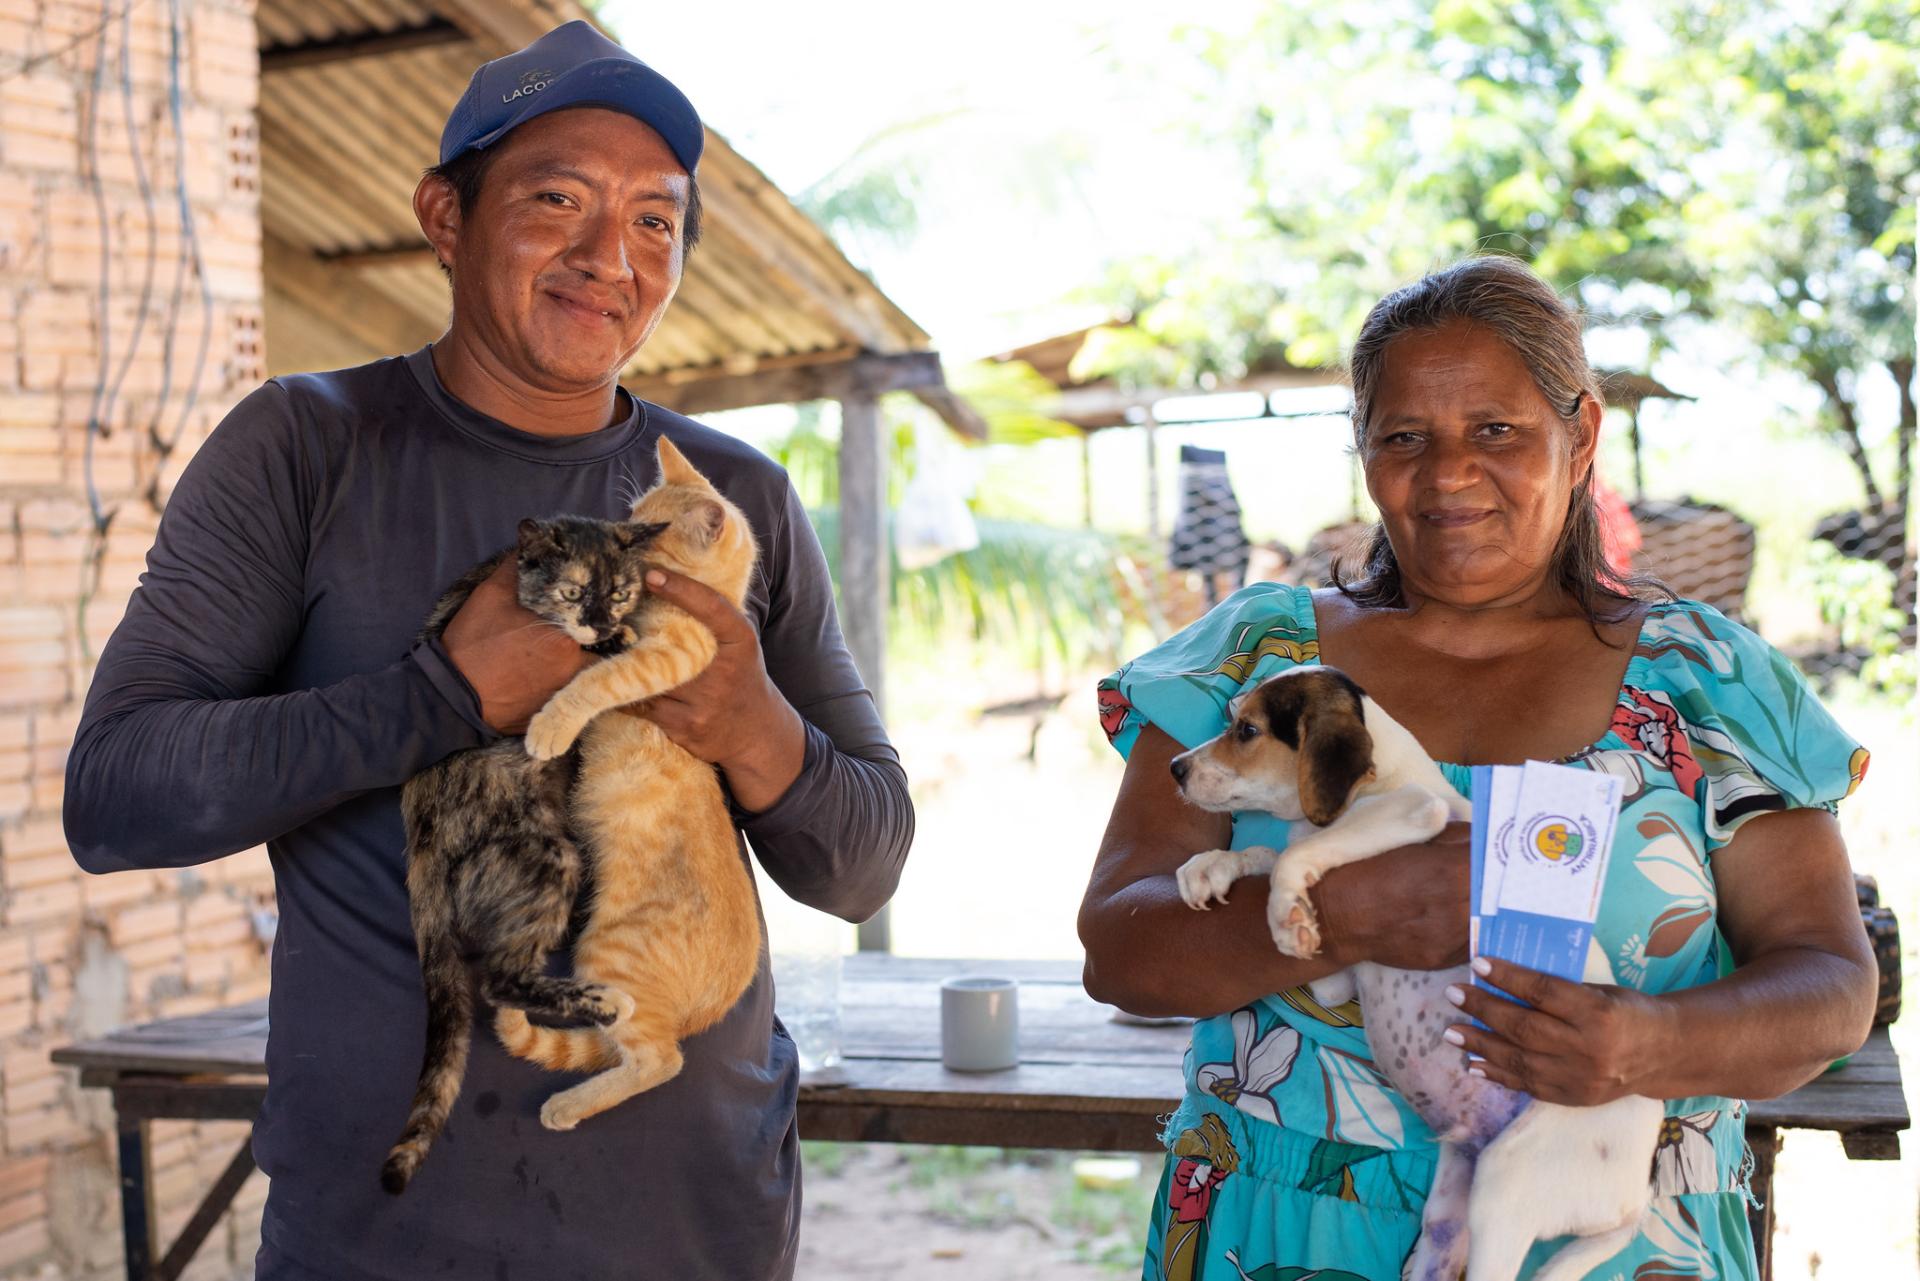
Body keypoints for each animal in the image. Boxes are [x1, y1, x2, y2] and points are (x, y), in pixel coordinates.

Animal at [382, 510, 668, 1190]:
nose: (601, 621)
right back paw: (603, 1001)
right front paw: (616, 644)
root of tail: (421, 839)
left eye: (620, 591)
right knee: (499, 981)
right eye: (572, 592)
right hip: (549, 857)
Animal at [491, 434, 760, 1129]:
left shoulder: (671, 657)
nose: (622, 535)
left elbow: (594, 680)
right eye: (634, 515)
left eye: (650, 537)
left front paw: (551, 725)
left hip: (609, 957)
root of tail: (700, 1012)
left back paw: (566, 1105)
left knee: (658, 1061)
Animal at [1167, 668, 1666, 1281]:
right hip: (1453, 1207)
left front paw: (1284, 914)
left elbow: (1292, 855)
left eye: (1246, 730)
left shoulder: (1414, 811)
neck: (1382, 780)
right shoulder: (1335, 979)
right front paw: (1213, 868)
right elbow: (1268, 852)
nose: (1175, 768)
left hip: (1508, 1185)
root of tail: (1634, 1202)